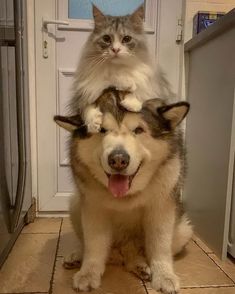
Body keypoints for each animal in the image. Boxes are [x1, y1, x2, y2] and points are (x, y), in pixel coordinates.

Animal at [54, 90, 193, 294]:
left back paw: (140, 264)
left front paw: (164, 276)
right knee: (90, 244)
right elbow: (94, 244)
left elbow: (159, 245)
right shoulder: (94, 209)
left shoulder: (162, 208)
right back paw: (78, 256)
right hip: (75, 204)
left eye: (139, 130)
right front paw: (88, 272)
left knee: (135, 253)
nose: (118, 160)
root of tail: (121, 251)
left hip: (184, 229)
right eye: (102, 130)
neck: (127, 195)